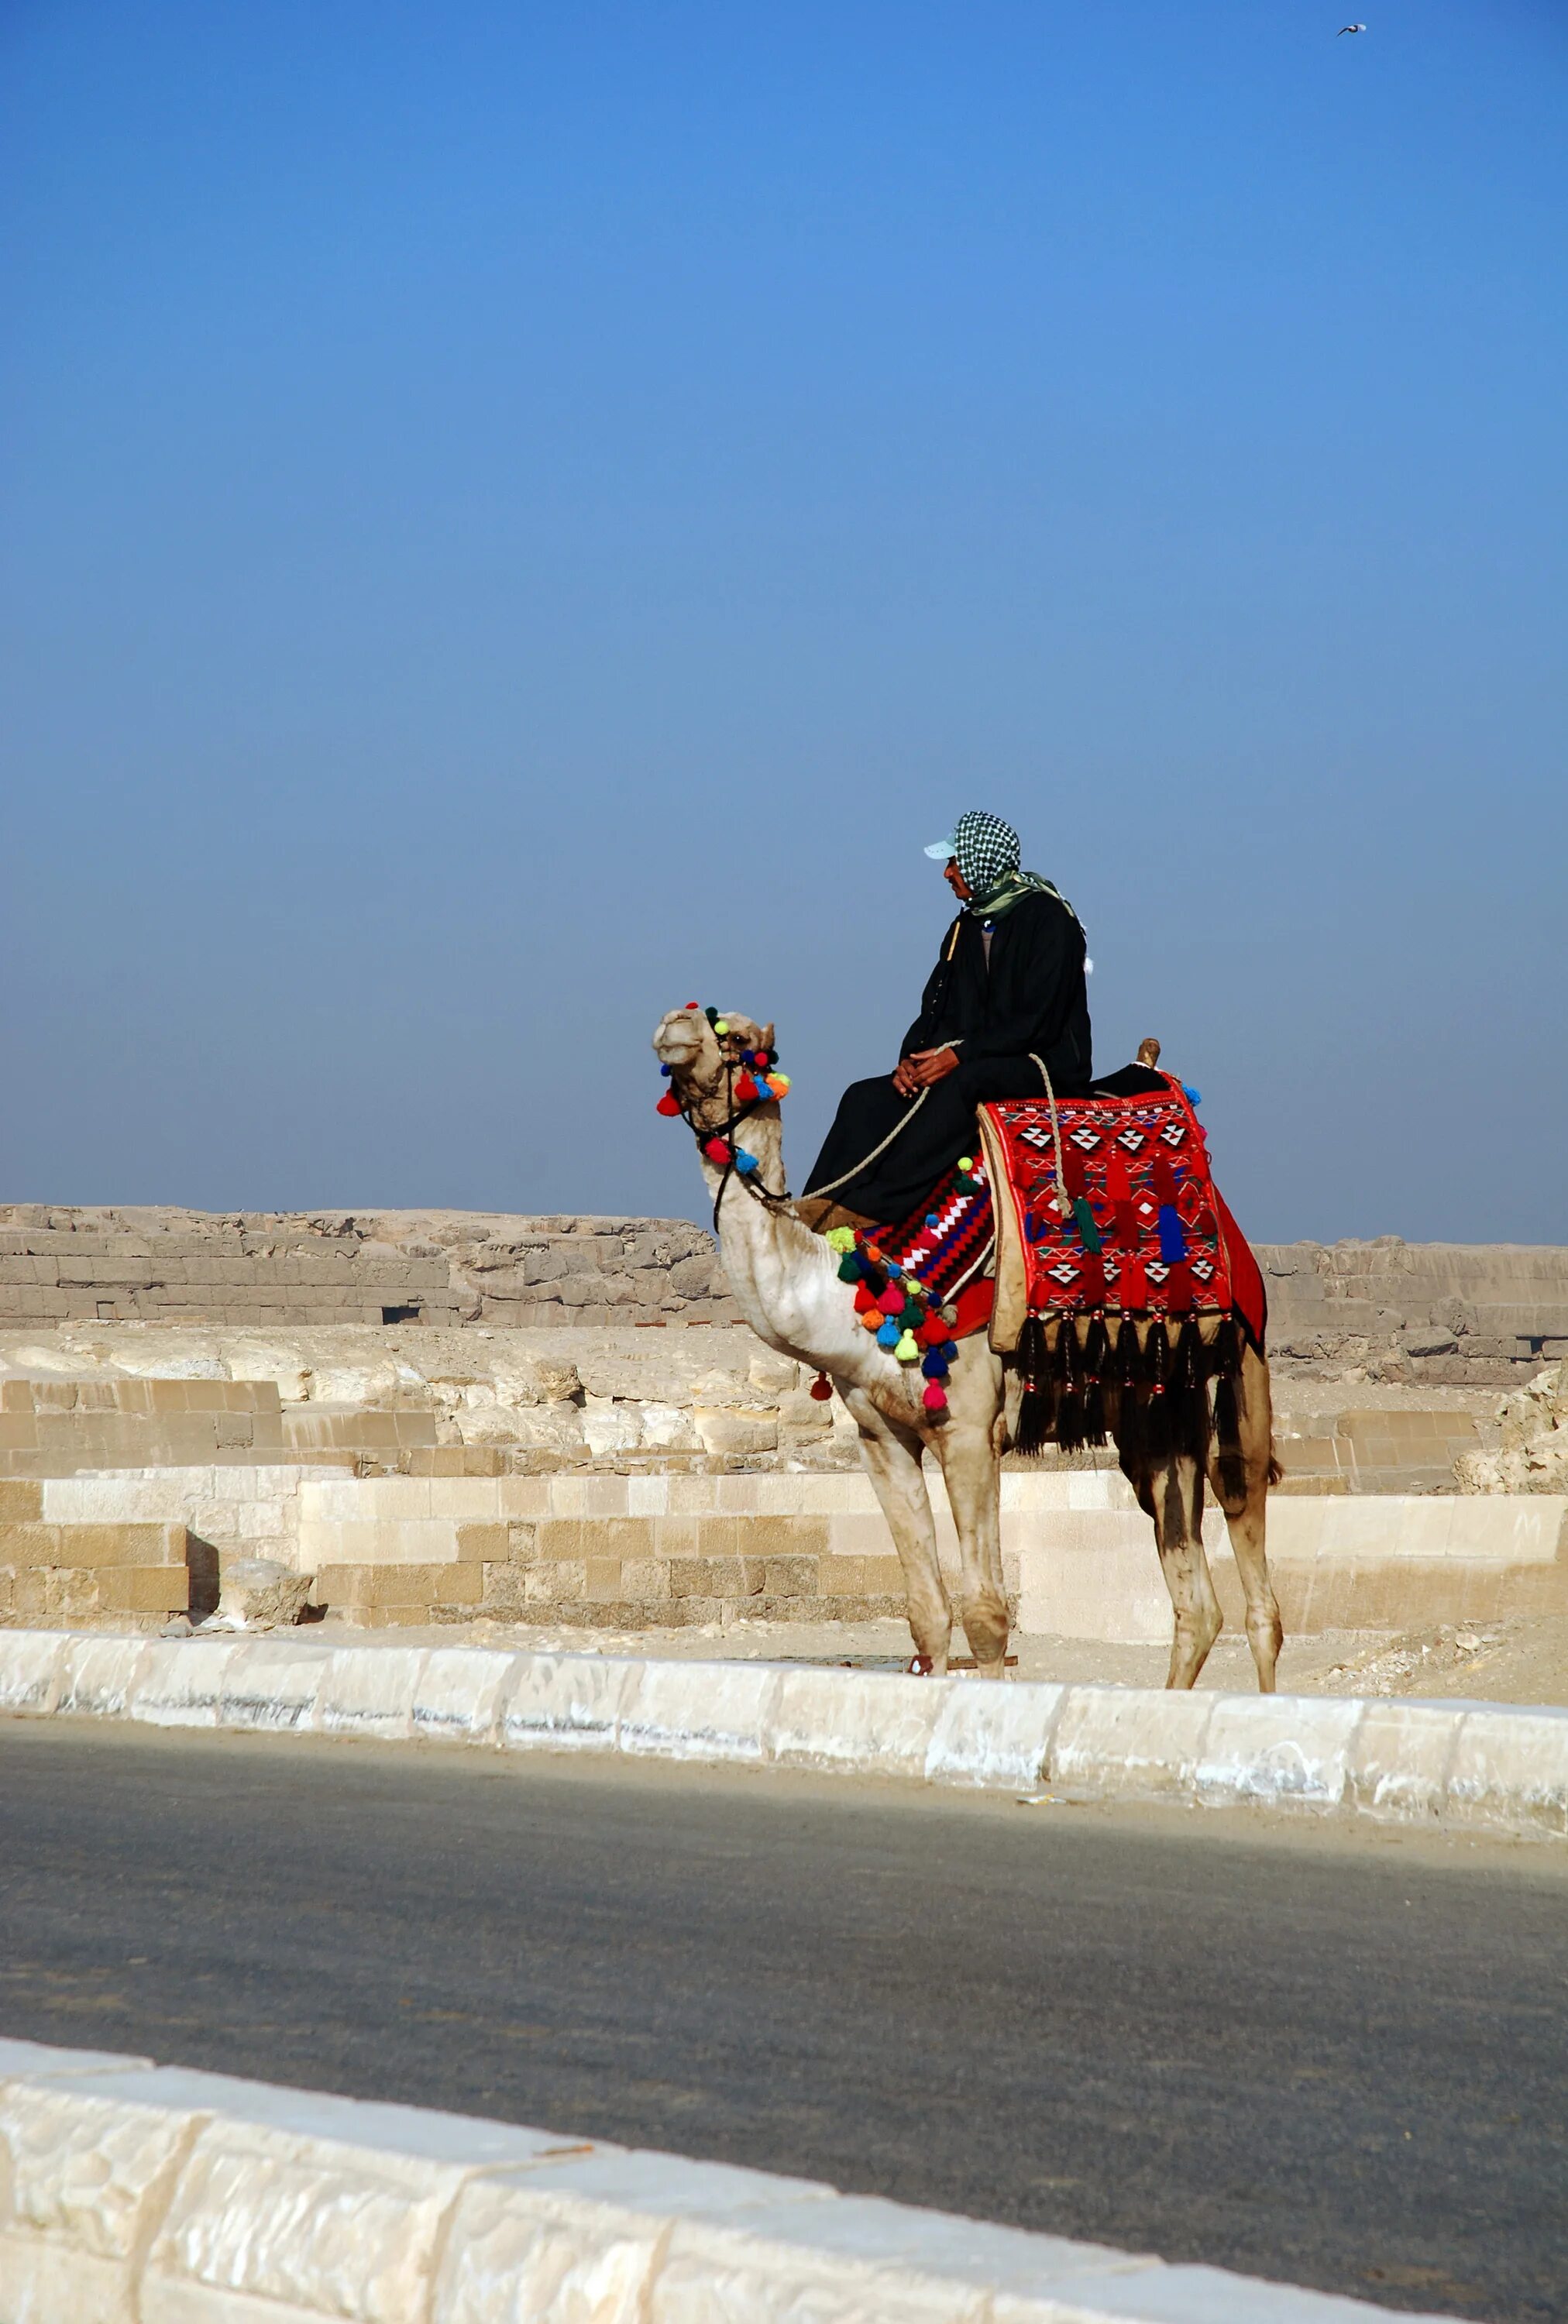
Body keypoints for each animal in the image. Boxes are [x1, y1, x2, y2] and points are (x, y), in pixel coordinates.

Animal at [655, 999, 1282, 1692]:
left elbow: (986, 1615)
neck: (860, 1296)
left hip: (1240, 1371)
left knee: (1255, 1576)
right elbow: (927, 1613)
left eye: (737, 1037)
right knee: (1195, 1600)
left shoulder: (969, 1431)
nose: (675, 1026)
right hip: (1154, 1423)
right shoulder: (882, 1438)